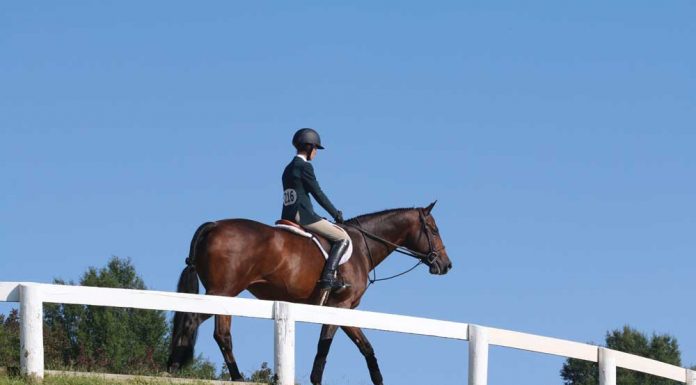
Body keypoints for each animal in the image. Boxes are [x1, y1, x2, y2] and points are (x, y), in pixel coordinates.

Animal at [167, 201, 452, 384]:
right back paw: (212, 373)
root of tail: (213, 225)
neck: (362, 246)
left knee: (205, 327)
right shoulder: (341, 307)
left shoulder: (343, 310)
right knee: (208, 328)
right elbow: (328, 347)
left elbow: (361, 347)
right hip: (224, 292)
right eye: (434, 230)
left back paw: (190, 369)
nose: (446, 265)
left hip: (224, 294)